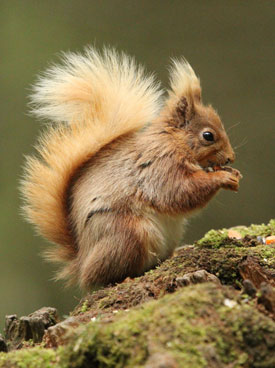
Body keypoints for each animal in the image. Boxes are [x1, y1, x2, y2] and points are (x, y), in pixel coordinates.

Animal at [21, 46, 242, 288]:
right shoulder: (159, 166)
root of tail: (81, 263)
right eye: (208, 136)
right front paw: (222, 178)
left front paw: (233, 174)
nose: (230, 158)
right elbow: (177, 192)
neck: (172, 141)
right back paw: (123, 277)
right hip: (128, 234)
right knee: (106, 275)